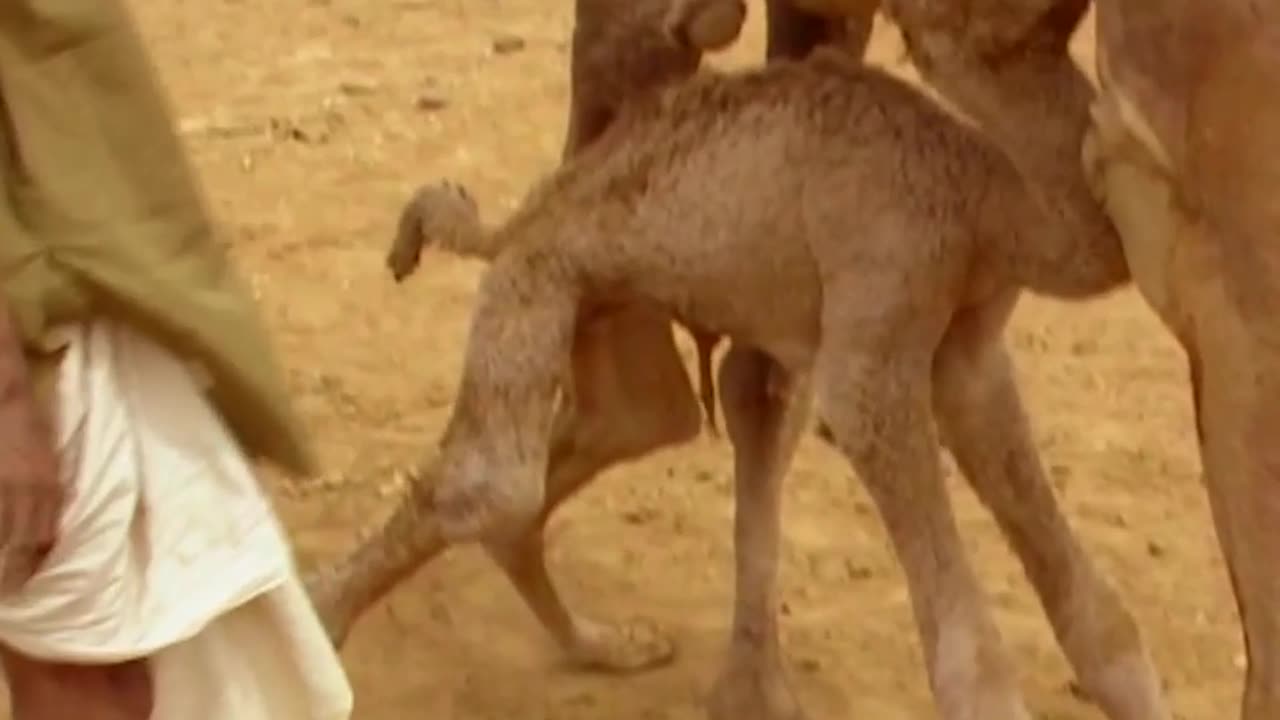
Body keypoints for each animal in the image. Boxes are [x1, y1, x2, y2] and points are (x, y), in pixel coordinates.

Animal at [353, 48, 1171, 720]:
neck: (985, 194)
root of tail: (512, 224)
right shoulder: (881, 310)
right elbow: (973, 664)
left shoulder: (967, 345)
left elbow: (1103, 620)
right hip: (534, 284)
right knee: (489, 487)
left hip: (596, 308)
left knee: (599, 443)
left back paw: (616, 646)